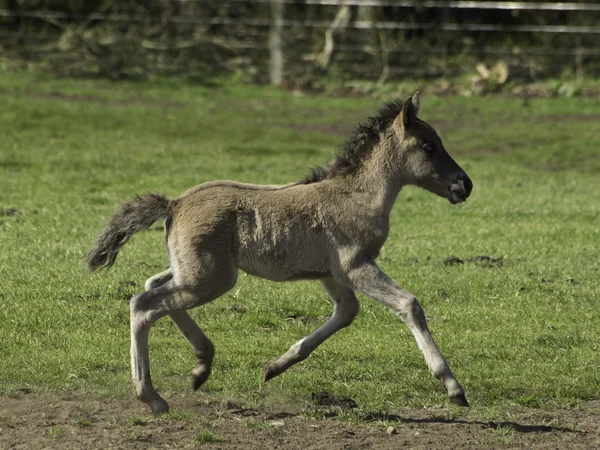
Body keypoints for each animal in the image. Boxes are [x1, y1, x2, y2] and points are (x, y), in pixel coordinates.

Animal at [89, 93, 474, 414]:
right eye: (428, 146)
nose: (465, 185)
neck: (358, 195)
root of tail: (176, 203)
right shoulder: (355, 266)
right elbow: (409, 304)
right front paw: (453, 386)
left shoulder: (330, 274)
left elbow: (346, 312)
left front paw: (273, 368)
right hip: (212, 278)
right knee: (143, 304)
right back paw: (153, 397)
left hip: (196, 271)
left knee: (153, 284)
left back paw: (202, 364)